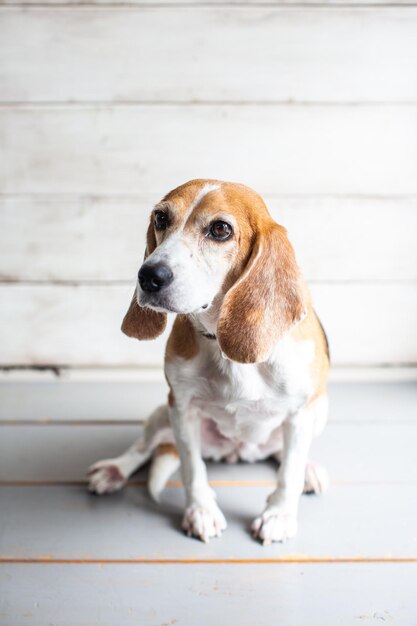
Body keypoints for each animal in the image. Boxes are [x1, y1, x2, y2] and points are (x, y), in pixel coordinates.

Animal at [88, 179, 328, 540]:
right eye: (160, 218)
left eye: (220, 229)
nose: (149, 275)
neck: (221, 342)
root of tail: (237, 453)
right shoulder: (182, 407)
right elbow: (192, 467)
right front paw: (200, 511)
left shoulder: (301, 412)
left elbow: (289, 472)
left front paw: (279, 515)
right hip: (161, 413)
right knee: (143, 447)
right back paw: (115, 470)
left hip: (320, 411)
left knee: (285, 454)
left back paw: (310, 470)